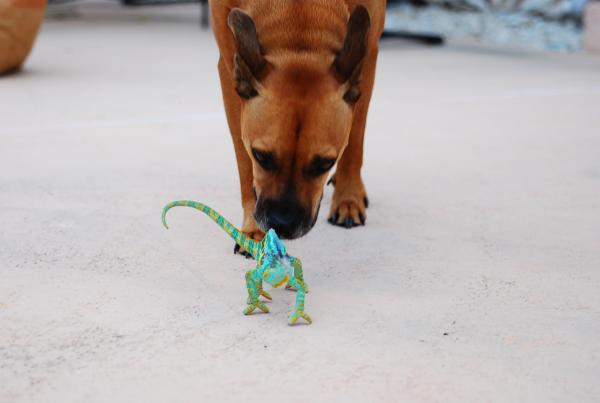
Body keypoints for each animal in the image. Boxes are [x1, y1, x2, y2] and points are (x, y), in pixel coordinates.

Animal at [209, 0, 384, 252]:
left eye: (326, 163)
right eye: (260, 156)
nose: (282, 224)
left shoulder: (368, 57)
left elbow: (354, 139)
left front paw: (348, 197)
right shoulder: (228, 70)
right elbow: (244, 161)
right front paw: (253, 229)